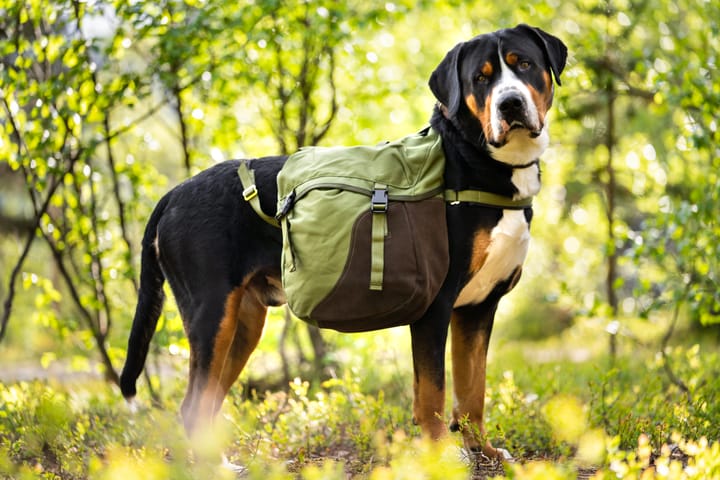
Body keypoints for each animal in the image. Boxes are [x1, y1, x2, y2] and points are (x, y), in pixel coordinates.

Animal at [119, 24, 568, 460]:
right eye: (481, 78)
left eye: (524, 64)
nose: (510, 104)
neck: (476, 163)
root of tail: (174, 194)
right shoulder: (436, 306)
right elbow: (432, 394)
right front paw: (442, 455)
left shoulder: (478, 308)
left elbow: (472, 391)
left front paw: (483, 450)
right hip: (212, 313)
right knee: (192, 406)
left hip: (242, 322)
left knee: (207, 402)